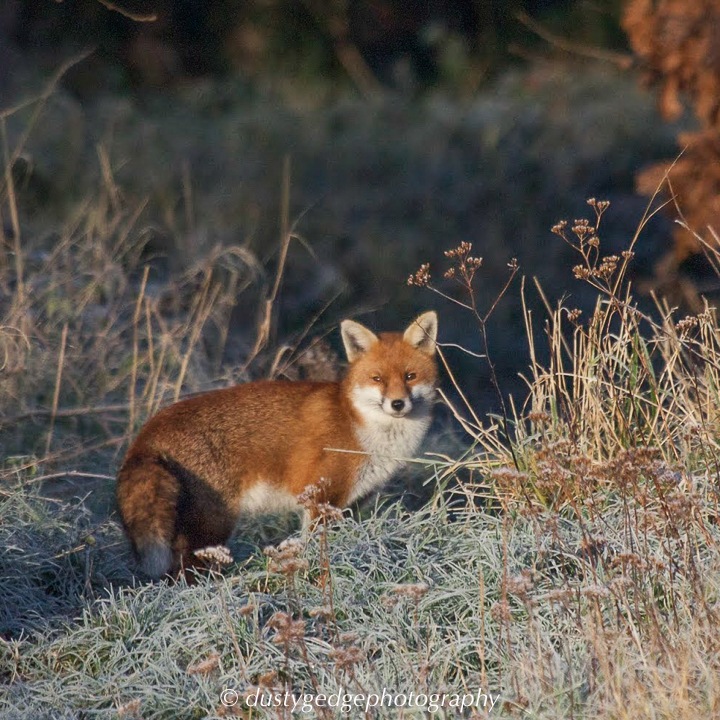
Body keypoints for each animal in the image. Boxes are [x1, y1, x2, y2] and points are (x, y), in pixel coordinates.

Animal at [116, 311, 439, 578]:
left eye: (410, 376)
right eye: (378, 379)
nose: (397, 404)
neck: (362, 430)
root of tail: (149, 428)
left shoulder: (352, 503)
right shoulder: (321, 498)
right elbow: (317, 546)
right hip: (214, 523)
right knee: (185, 567)